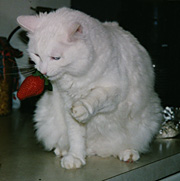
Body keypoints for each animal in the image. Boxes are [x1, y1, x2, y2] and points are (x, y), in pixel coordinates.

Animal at [17, 7, 162, 168]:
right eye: (36, 55)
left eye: (56, 58)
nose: (43, 72)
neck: (76, 75)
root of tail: (96, 150)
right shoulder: (67, 103)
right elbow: (76, 137)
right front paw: (75, 157)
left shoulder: (115, 92)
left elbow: (96, 97)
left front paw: (82, 108)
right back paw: (64, 151)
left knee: (127, 145)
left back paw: (128, 153)